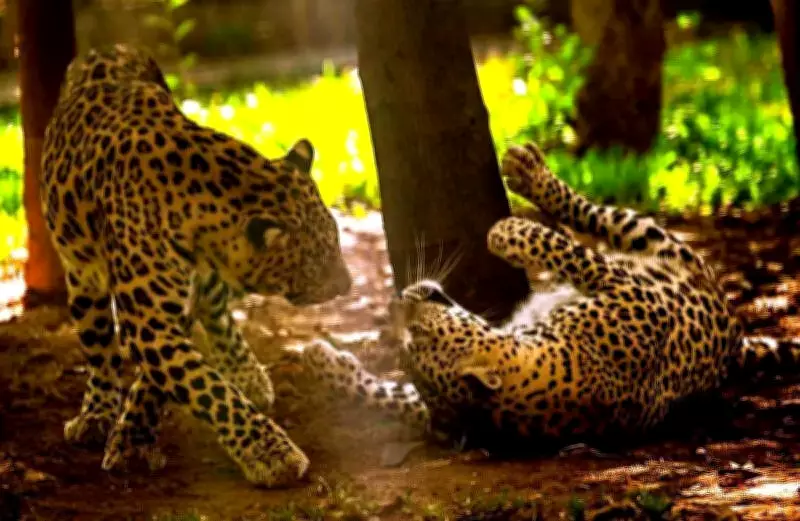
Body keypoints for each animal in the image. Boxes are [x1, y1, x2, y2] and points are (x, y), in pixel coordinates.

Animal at [40, 44, 352, 487]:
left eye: (336, 241)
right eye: (314, 262)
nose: (347, 284)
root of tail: (111, 46)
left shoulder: (176, 309)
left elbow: (163, 383)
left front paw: (134, 439)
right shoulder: (149, 323)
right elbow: (209, 390)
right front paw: (272, 454)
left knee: (216, 309)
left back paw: (248, 375)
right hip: (82, 277)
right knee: (99, 348)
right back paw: (95, 413)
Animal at [297, 140, 800, 450]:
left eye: (415, 336)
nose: (398, 300)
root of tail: (735, 338)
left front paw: (320, 362)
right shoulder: (626, 286)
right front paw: (324, 365)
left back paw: (526, 173)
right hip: (663, 246)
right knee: (594, 218)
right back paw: (528, 172)